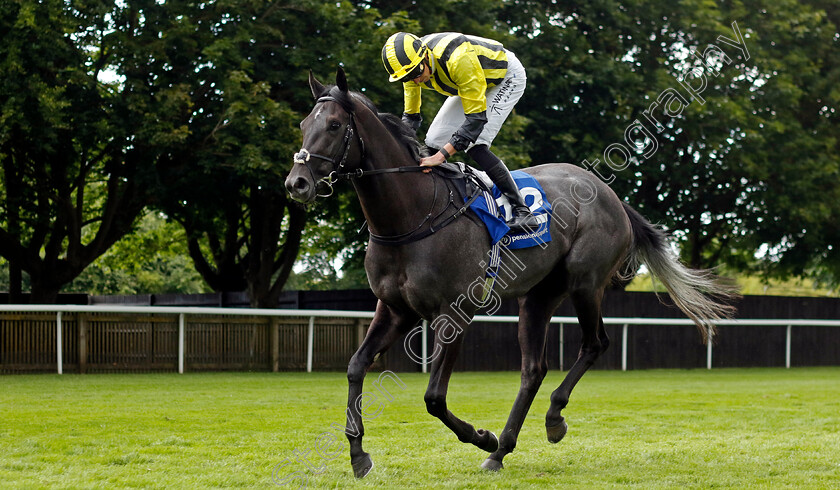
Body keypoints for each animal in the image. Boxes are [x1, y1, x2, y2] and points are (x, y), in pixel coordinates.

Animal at [284, 69, 736, 478]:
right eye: (304, 125)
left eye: (334, 125)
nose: (297, 183)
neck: (413, 215)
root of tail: (613, 197)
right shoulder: (395, 309)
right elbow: (356, 366)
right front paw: (359, 455)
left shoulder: (454, 313)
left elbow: (433, 397)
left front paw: (480, 436)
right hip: (538, 296)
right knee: (532, 369)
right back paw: (503, 449)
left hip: (585, 284)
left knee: (595, 344)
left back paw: (547, 422)